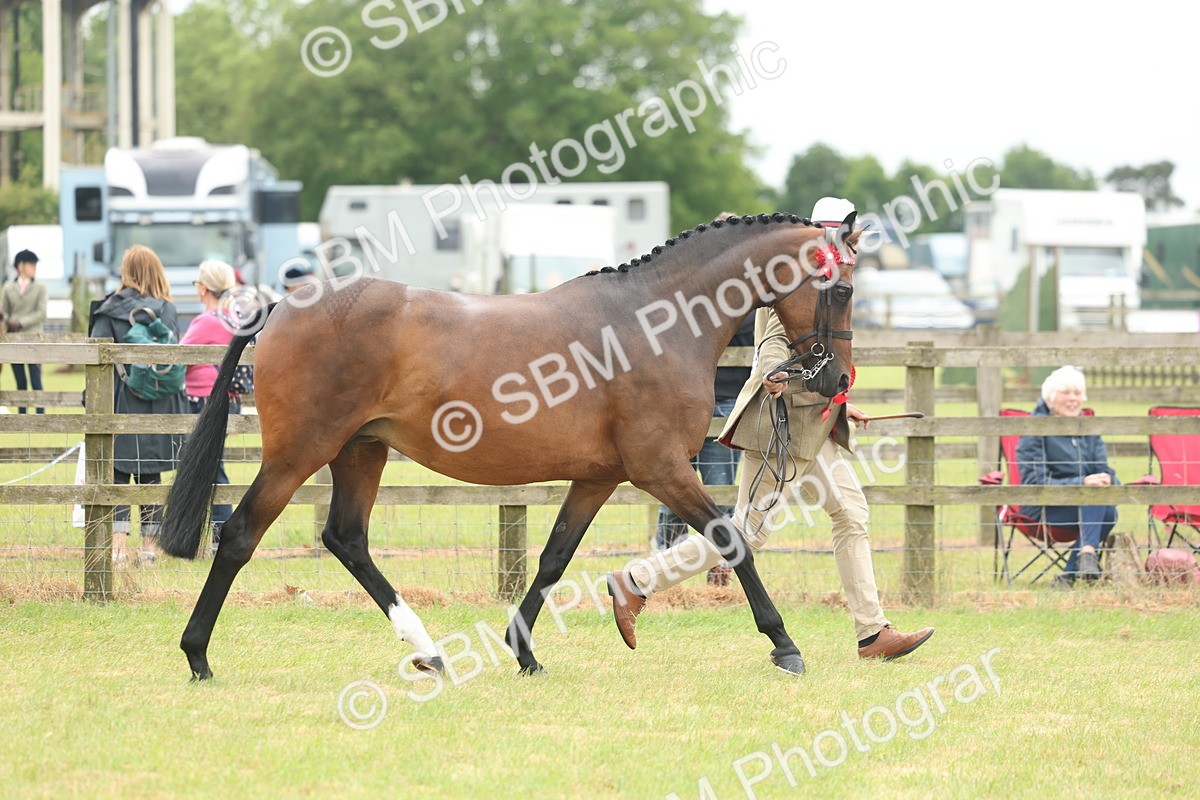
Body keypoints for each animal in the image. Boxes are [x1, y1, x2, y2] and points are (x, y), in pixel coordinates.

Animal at [160, 210, 860, 681]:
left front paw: (523, 653)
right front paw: (785, 645)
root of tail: (279, 306)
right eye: (846, 289)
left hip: (361, 450)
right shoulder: (660, 469)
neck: (657, 321)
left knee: (346, 539)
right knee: (240, 534)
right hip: (298, 453)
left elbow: (552, 559)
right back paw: (197, 655)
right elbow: (731, 540)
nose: (835, 381)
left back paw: (428, 650)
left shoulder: (599, 476)